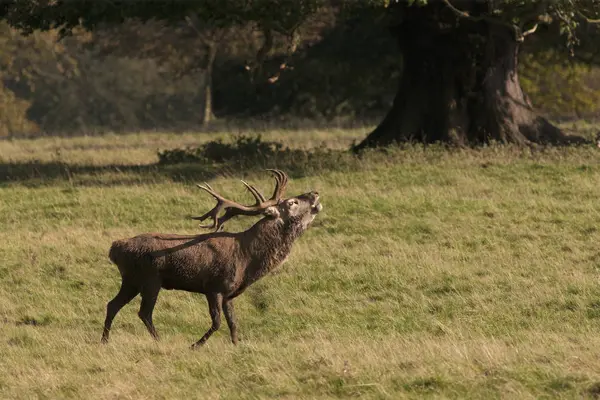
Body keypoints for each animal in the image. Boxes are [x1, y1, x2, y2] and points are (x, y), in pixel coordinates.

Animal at [102, 169, 324, 346]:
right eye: (292, 202)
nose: (315, 193)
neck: (247, 258)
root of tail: (115, 248)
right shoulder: (214, 286)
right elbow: (217, 322)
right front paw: (195, 345)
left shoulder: (229, 293)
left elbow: (233, 323)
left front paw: (236, 345)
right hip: (150, 279)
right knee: (144, 312)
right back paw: (158, 340)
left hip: (132, 280)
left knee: (113, 304)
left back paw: (104, 340)